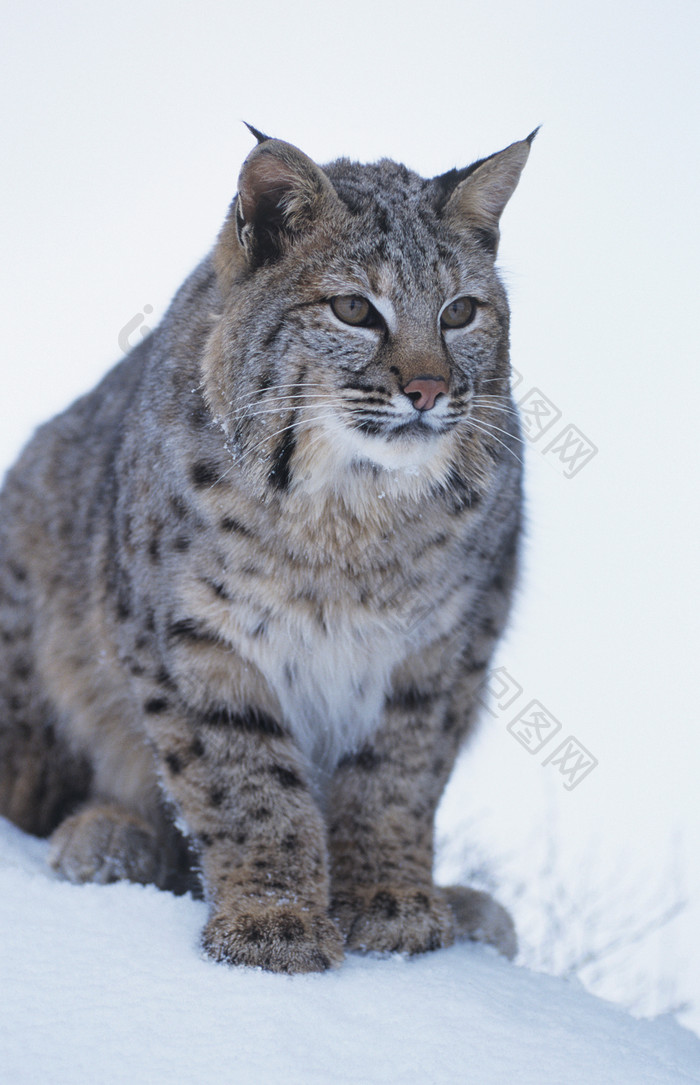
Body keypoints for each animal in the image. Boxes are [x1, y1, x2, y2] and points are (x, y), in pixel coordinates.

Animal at [0, 126, 531, 976]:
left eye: (460, 312)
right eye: (354, 309)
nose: (427, 390)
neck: (351, 510)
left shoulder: (448, 645)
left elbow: (397, 776)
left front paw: (393, 900)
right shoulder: (191, 632)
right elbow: (245, 779)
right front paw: (272, 919)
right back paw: (109, 835)